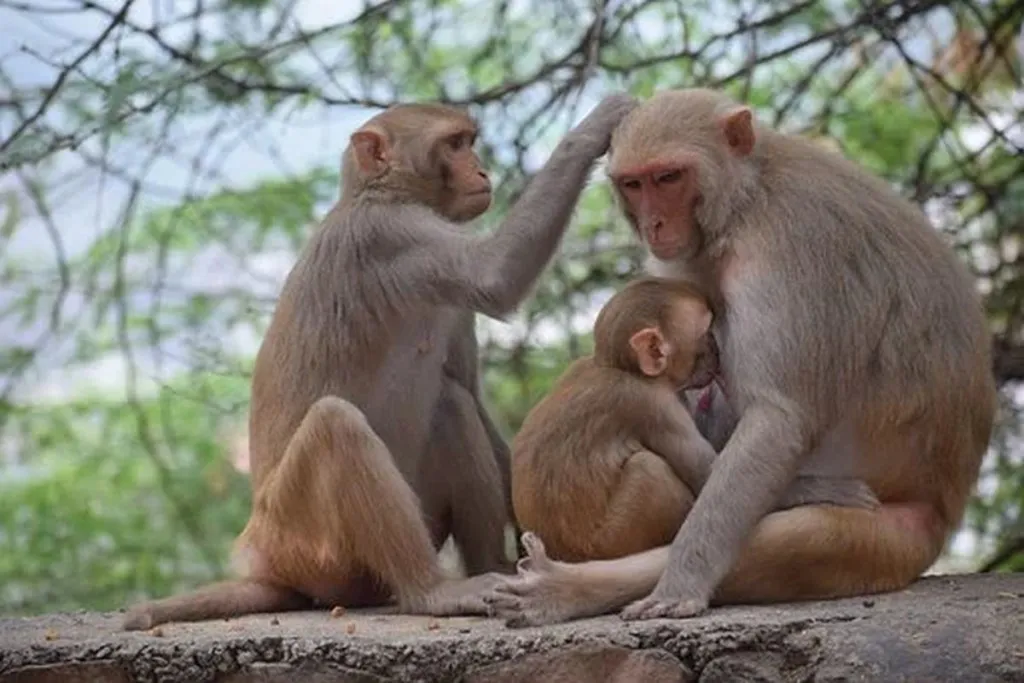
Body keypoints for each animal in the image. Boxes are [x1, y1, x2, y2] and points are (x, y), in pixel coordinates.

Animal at [120, 94, 638, 630]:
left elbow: (468, 389)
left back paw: (489, 565)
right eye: (454, 144)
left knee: (451, 404)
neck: (380, 195)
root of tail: (268, 562)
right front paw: (597, 124)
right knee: (336, 424)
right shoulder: (390, 236)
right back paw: (431, 592)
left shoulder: (447, 300)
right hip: (306, 542)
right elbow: (493, 275)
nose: (481, 171)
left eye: (468, 142)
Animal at [511, 276, 879, 564]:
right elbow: (708, 475)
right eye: (705, 334)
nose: (718, 350)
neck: (619, 367)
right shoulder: (653, 407)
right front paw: (830, 490)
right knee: (650, 469)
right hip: (608, 542)